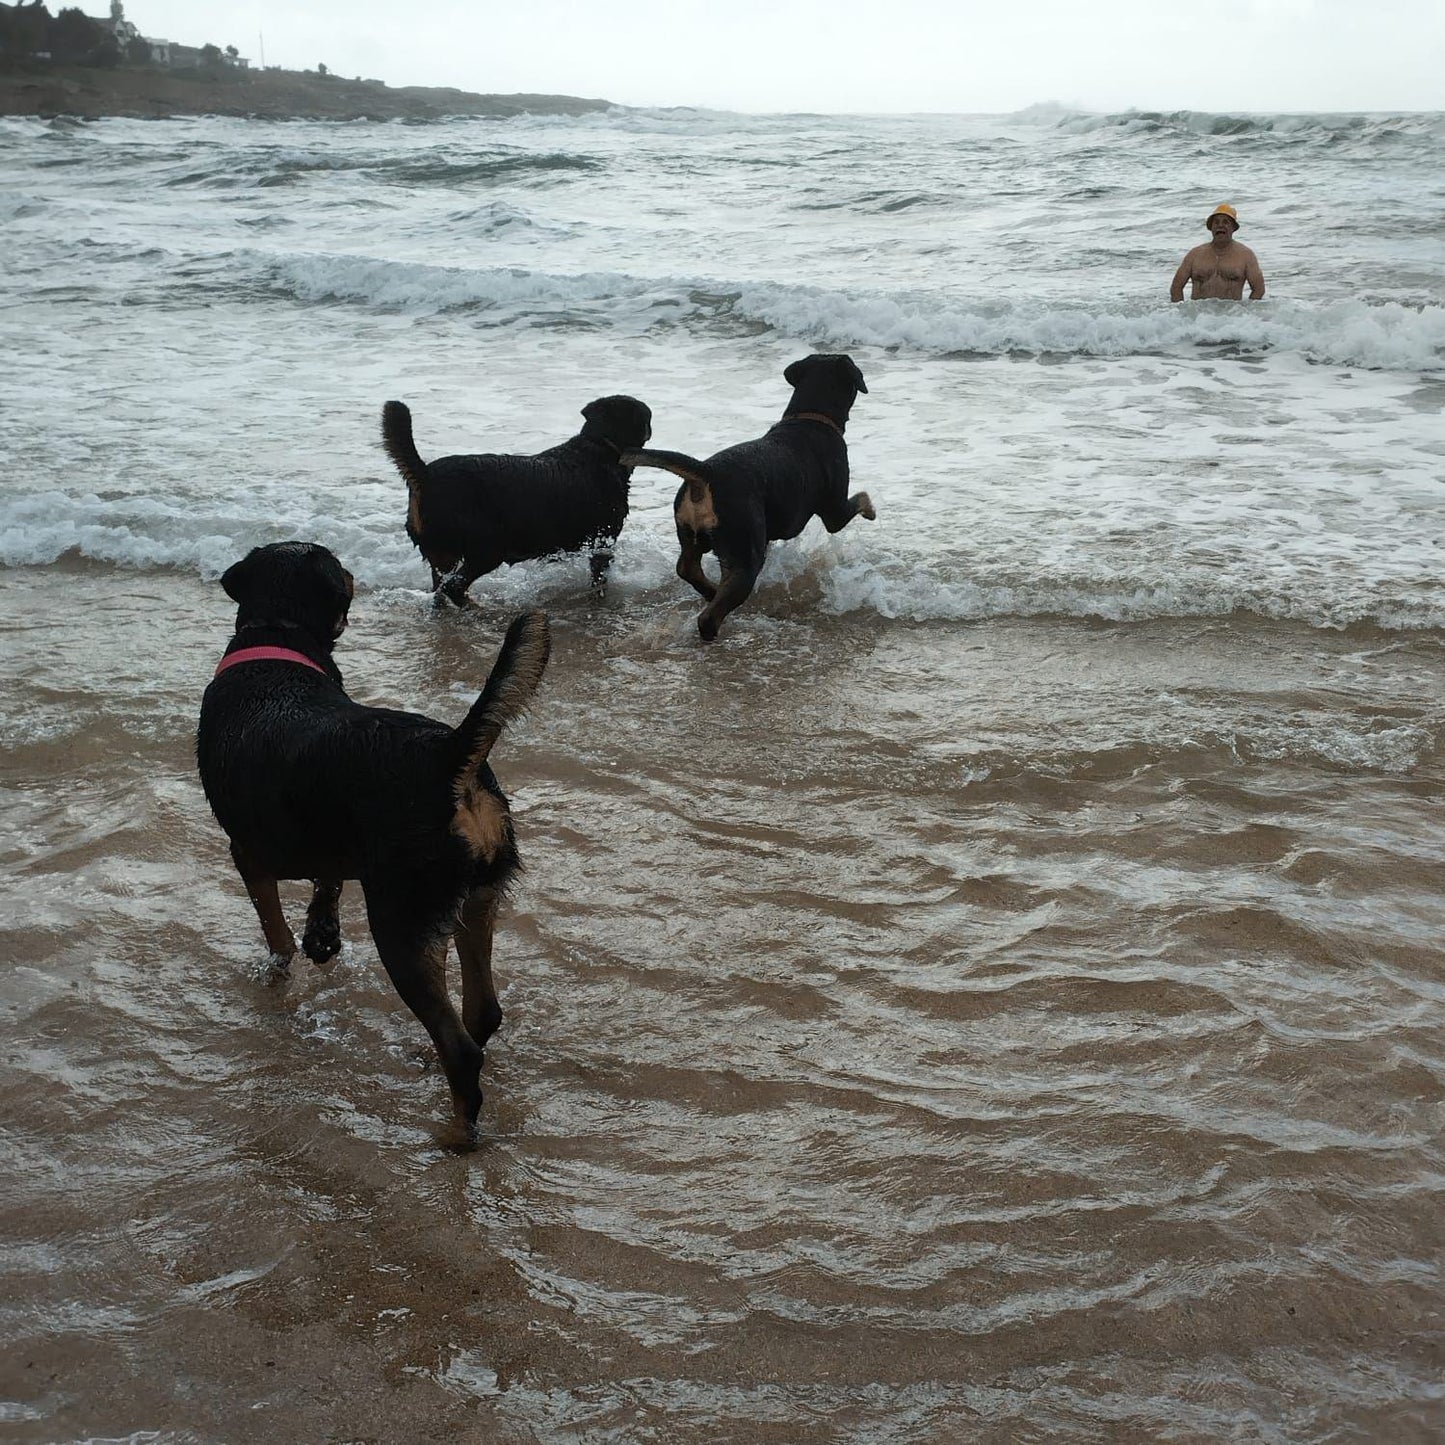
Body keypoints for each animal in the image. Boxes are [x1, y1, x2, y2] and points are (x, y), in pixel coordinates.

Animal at [197, 537, 546, 1144]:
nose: (352, 571)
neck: (278, 641)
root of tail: (450, 756)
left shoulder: (246, 851)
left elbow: (275, 931)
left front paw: (282, 967)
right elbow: (327, 880)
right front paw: (322, 935)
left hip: (402, 919)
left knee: (460, 1047)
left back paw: (456, 1136)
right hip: (478, 897)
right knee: (482, 1014)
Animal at [384, 393, 656, 606]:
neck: (600, 446)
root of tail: (425, 477)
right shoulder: (603, 540)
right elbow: (599, 580)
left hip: (442, 554)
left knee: (441, 589)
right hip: (486, 547)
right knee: (454, 587)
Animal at [621, 352, 867, 641]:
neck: (811, 417)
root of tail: (706, 472)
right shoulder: (835, 511)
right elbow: (860, 500)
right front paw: (871, 508)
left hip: (692, 531)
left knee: (687, 568)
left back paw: (711, 591)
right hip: (744, 551)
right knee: (710, 613)